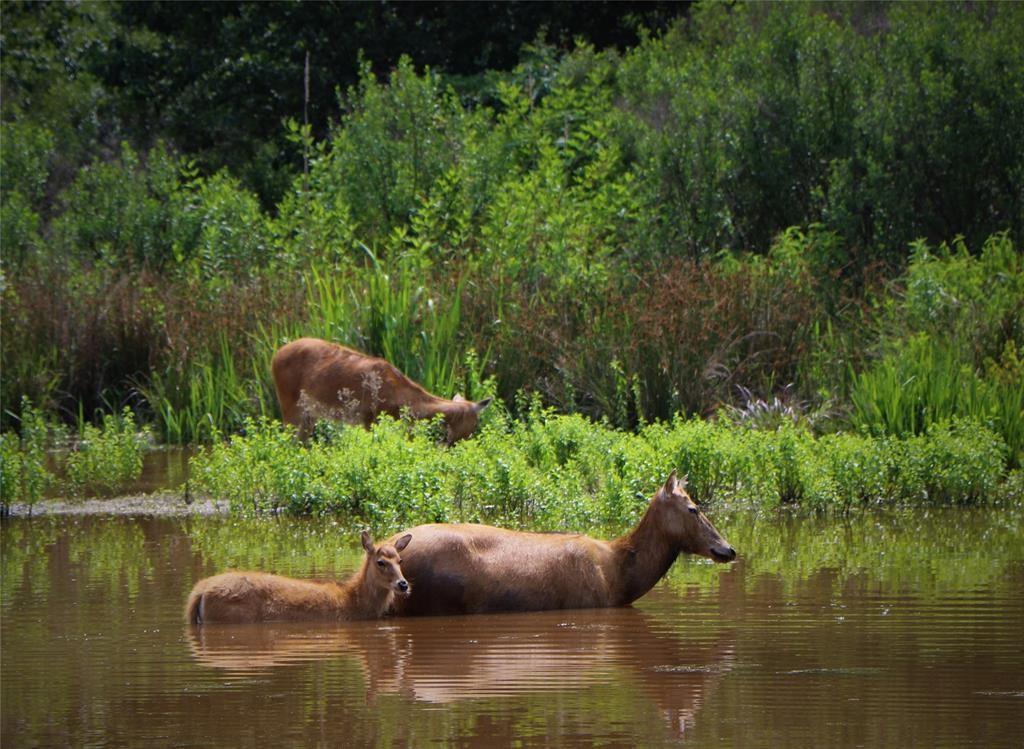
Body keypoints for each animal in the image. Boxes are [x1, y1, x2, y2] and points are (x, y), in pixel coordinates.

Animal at [268, 340, 491, 444]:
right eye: (474, 423)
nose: (464, 445)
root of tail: (275, 355)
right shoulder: (369, 419)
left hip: (309, 413)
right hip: (289, 403)